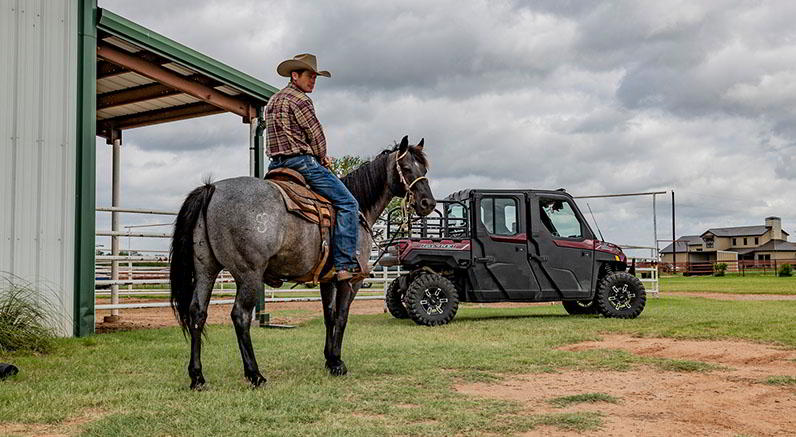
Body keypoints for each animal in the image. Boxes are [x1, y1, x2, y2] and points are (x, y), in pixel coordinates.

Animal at [171, 136, 436, 388]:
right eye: (406, 167)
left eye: (424, 167)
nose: (428, 203)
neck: (360, 207)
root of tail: (212, 188)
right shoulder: (351, 279)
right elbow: (341, 317)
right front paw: (338, 363)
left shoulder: (328, 279)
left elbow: (329, 316)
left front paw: (330, 359)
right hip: (249, 274)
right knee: (240, 316)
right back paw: (255, 374)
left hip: (206, 269)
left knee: (197, 313)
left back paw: (197, 377)